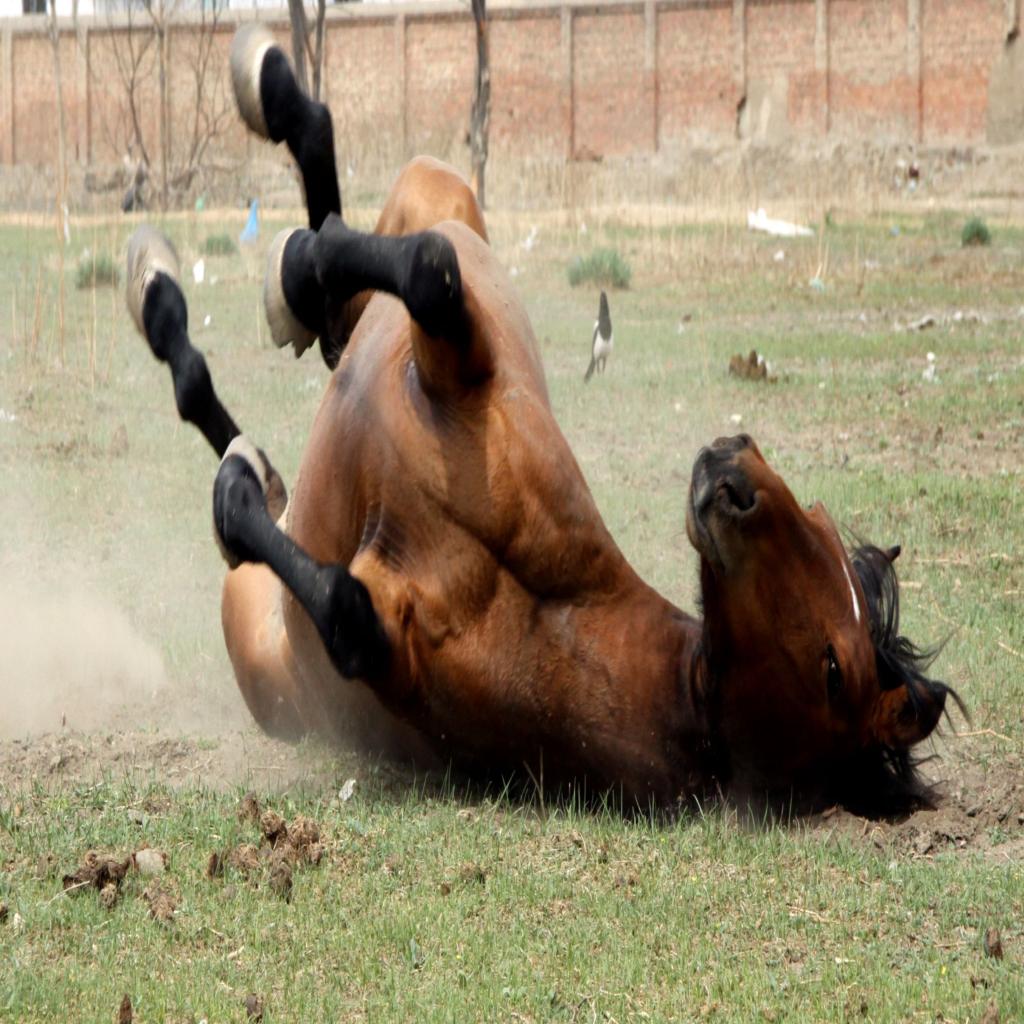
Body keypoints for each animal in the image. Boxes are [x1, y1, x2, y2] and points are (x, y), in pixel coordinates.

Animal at [125, 25, 950, 815]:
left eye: (834, 666)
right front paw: (297, 261)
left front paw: (233, 489)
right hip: (435, 195)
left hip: (257, 633)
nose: (734, 464)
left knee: (259, 401)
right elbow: (429, 273)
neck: (552, 617)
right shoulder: (463, 365)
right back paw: (249, 164)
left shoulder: (381, 636)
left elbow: (340, 606)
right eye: (820, 517)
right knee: (341, 238)